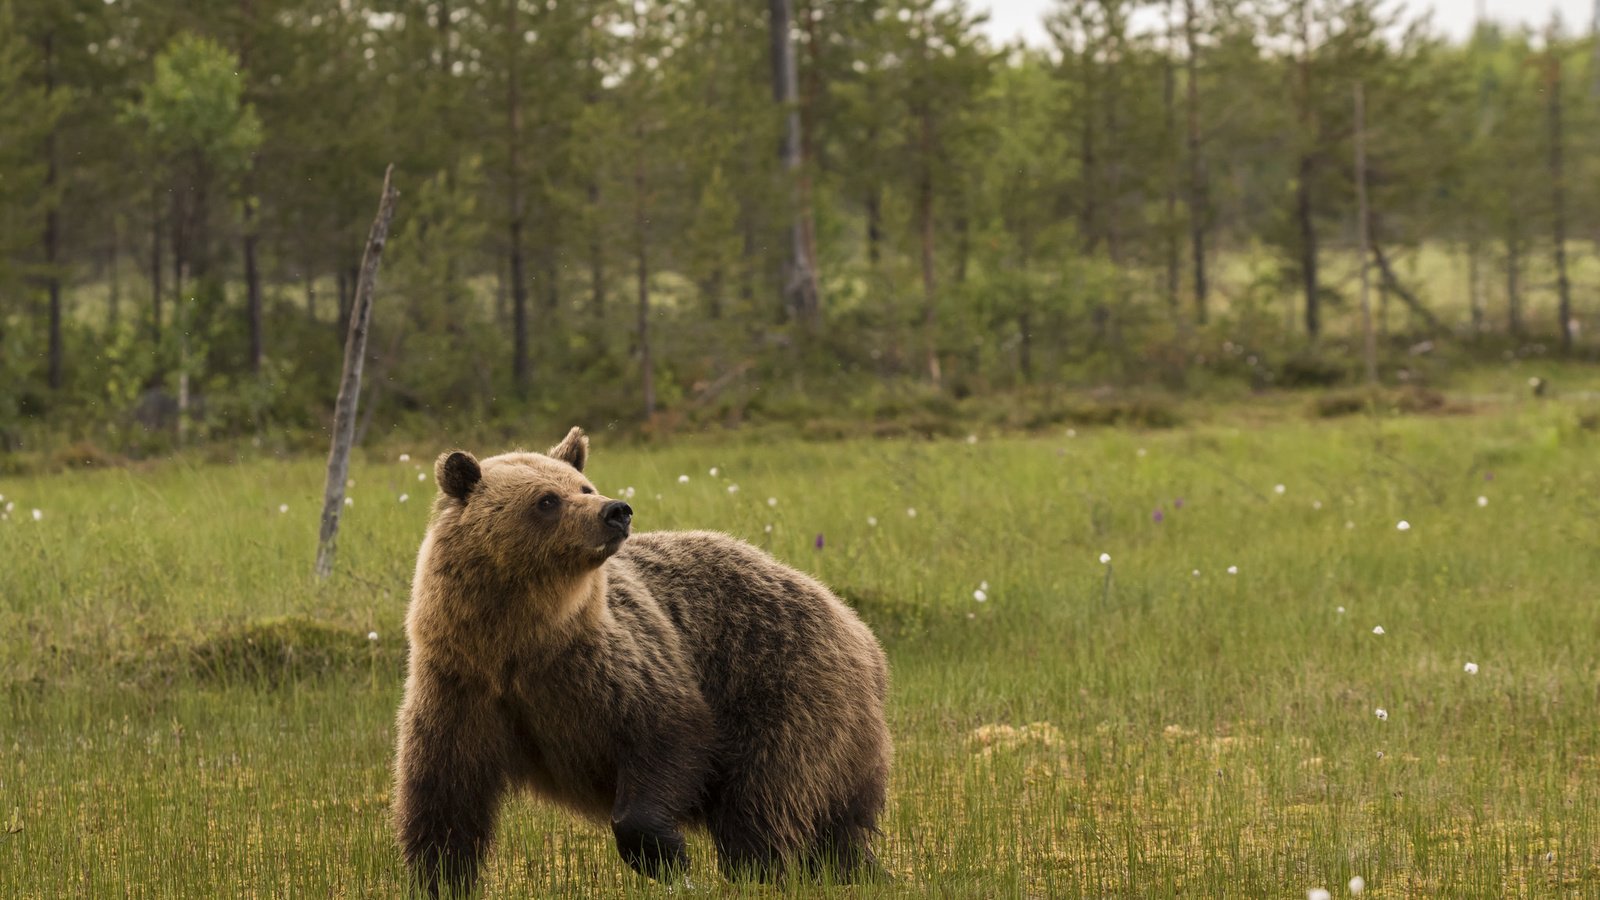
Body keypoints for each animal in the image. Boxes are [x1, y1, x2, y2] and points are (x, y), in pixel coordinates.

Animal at [387, 425, 889, 890]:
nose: (616, 510)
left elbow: (667, 733)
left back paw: (765, 871)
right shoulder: (459, 685)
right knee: (833, 825)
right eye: (547, 499)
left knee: (765, 797)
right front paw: (439, 876)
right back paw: (857, 870)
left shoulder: (612, 666)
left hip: (786, 686)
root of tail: (858, 628)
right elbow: (443, 797)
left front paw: (668, 857)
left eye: (584, 487)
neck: (520, 642)